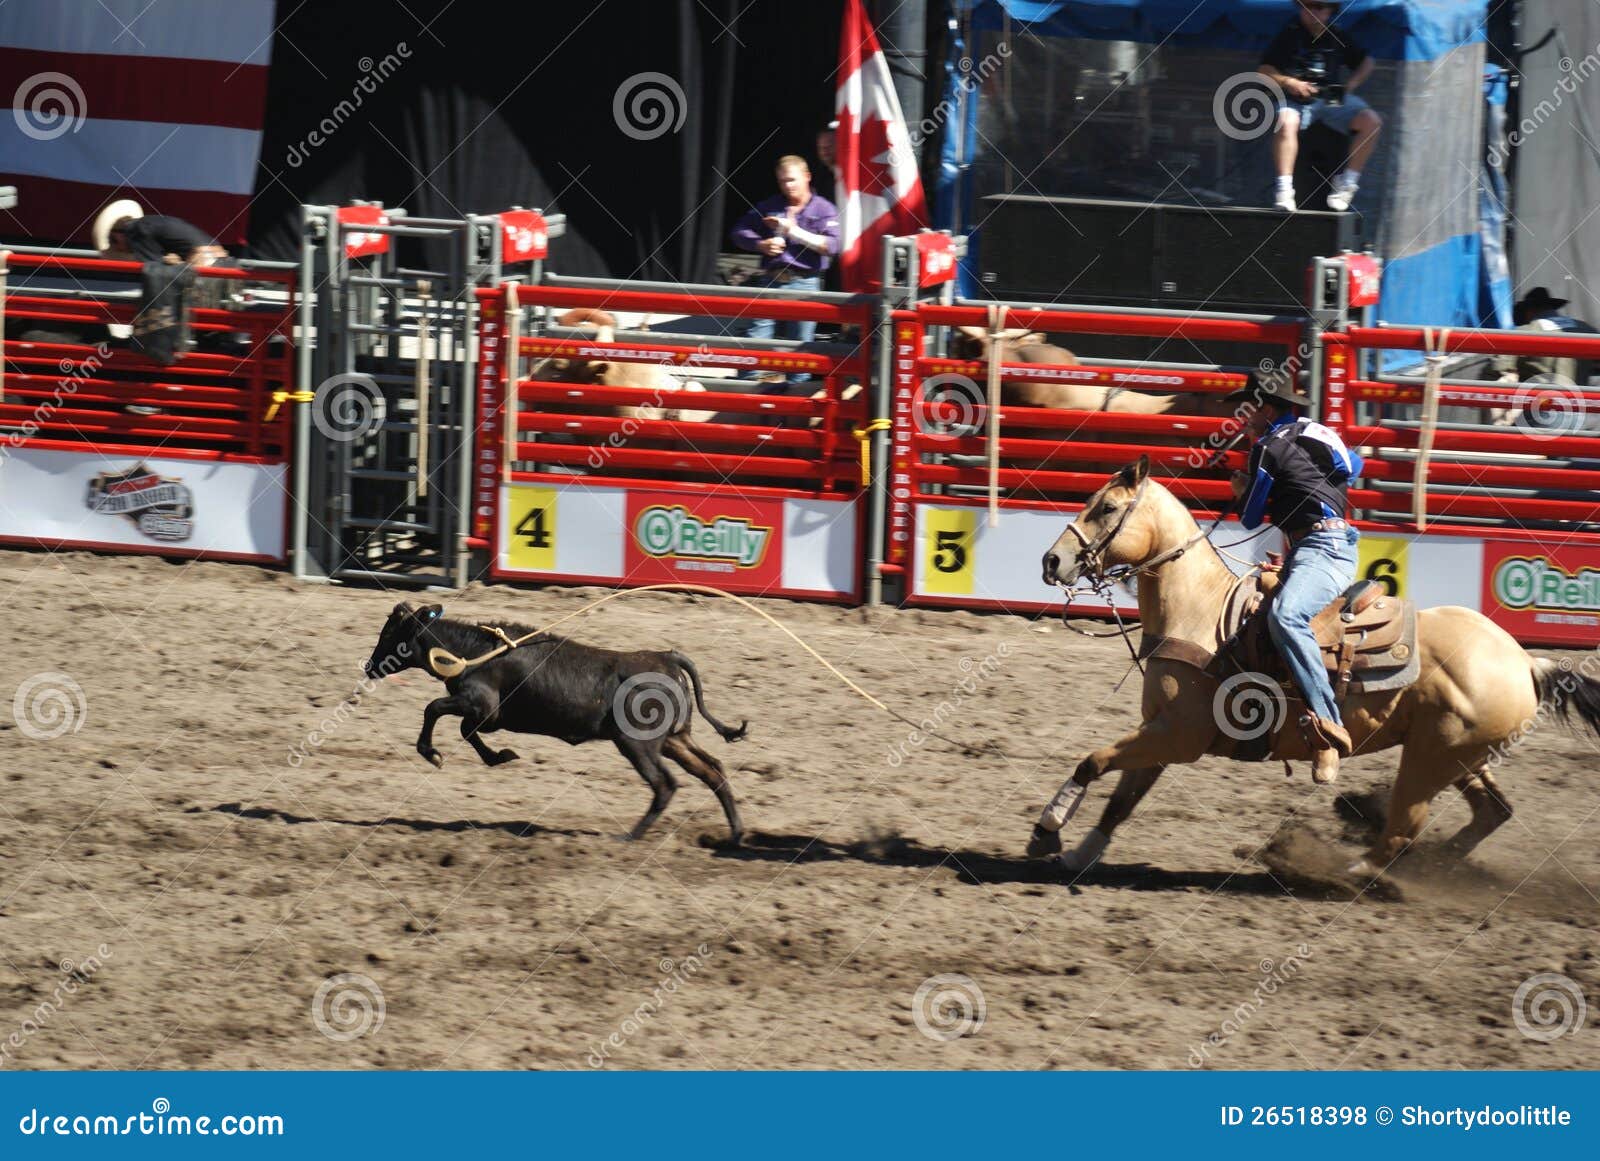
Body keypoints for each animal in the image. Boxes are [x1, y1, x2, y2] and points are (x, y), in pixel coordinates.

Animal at [366, 604, 752, 844]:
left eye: (390, 635)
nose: (369, 667)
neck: (472, 653)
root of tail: (667, 658)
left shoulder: (481, 705)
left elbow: (434, 709)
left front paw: (432, 753)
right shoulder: (485, 715)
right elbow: (466, 730)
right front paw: (500, 756)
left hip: (637, 744)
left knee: (665, 785)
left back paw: (628, 836)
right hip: (674, 740)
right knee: (713, 771)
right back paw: (735, 834)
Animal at [1030, 460, 1593, 876]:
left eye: (1106, 507)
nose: (1052, 561)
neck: (1201, 612)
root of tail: (1525, 662)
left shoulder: (1179, 736)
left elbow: (1093, 761)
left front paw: (1047, 830)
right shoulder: (1161, 730)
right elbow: (1121, 798)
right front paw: (1079, 852)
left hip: (1429, 761)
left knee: (1403, 828)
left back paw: (1350, 870)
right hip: (1461, 757)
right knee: (1491, 813)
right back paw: (1436, 868)